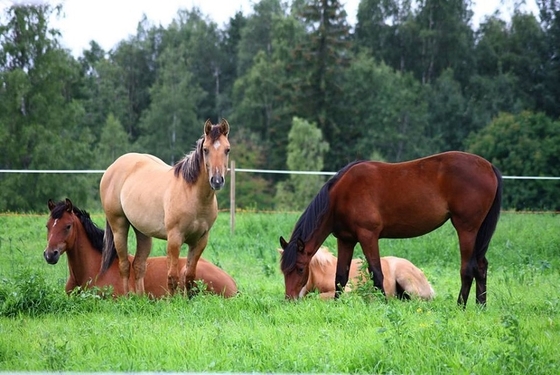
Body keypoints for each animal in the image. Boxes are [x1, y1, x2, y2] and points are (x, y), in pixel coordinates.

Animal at [99, 119, 231, 296]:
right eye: (205, 149)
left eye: (227, 149)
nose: (217, 181)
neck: (192, 194)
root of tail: (112, 167)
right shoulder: (174, 239)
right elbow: (172, 276)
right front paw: (173, 300)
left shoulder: (200, 240)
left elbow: (189, 276)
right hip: (119, 227)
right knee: (124, 265)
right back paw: (127, 298)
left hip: (142, 231)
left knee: (139, 265)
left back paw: (140, 299)